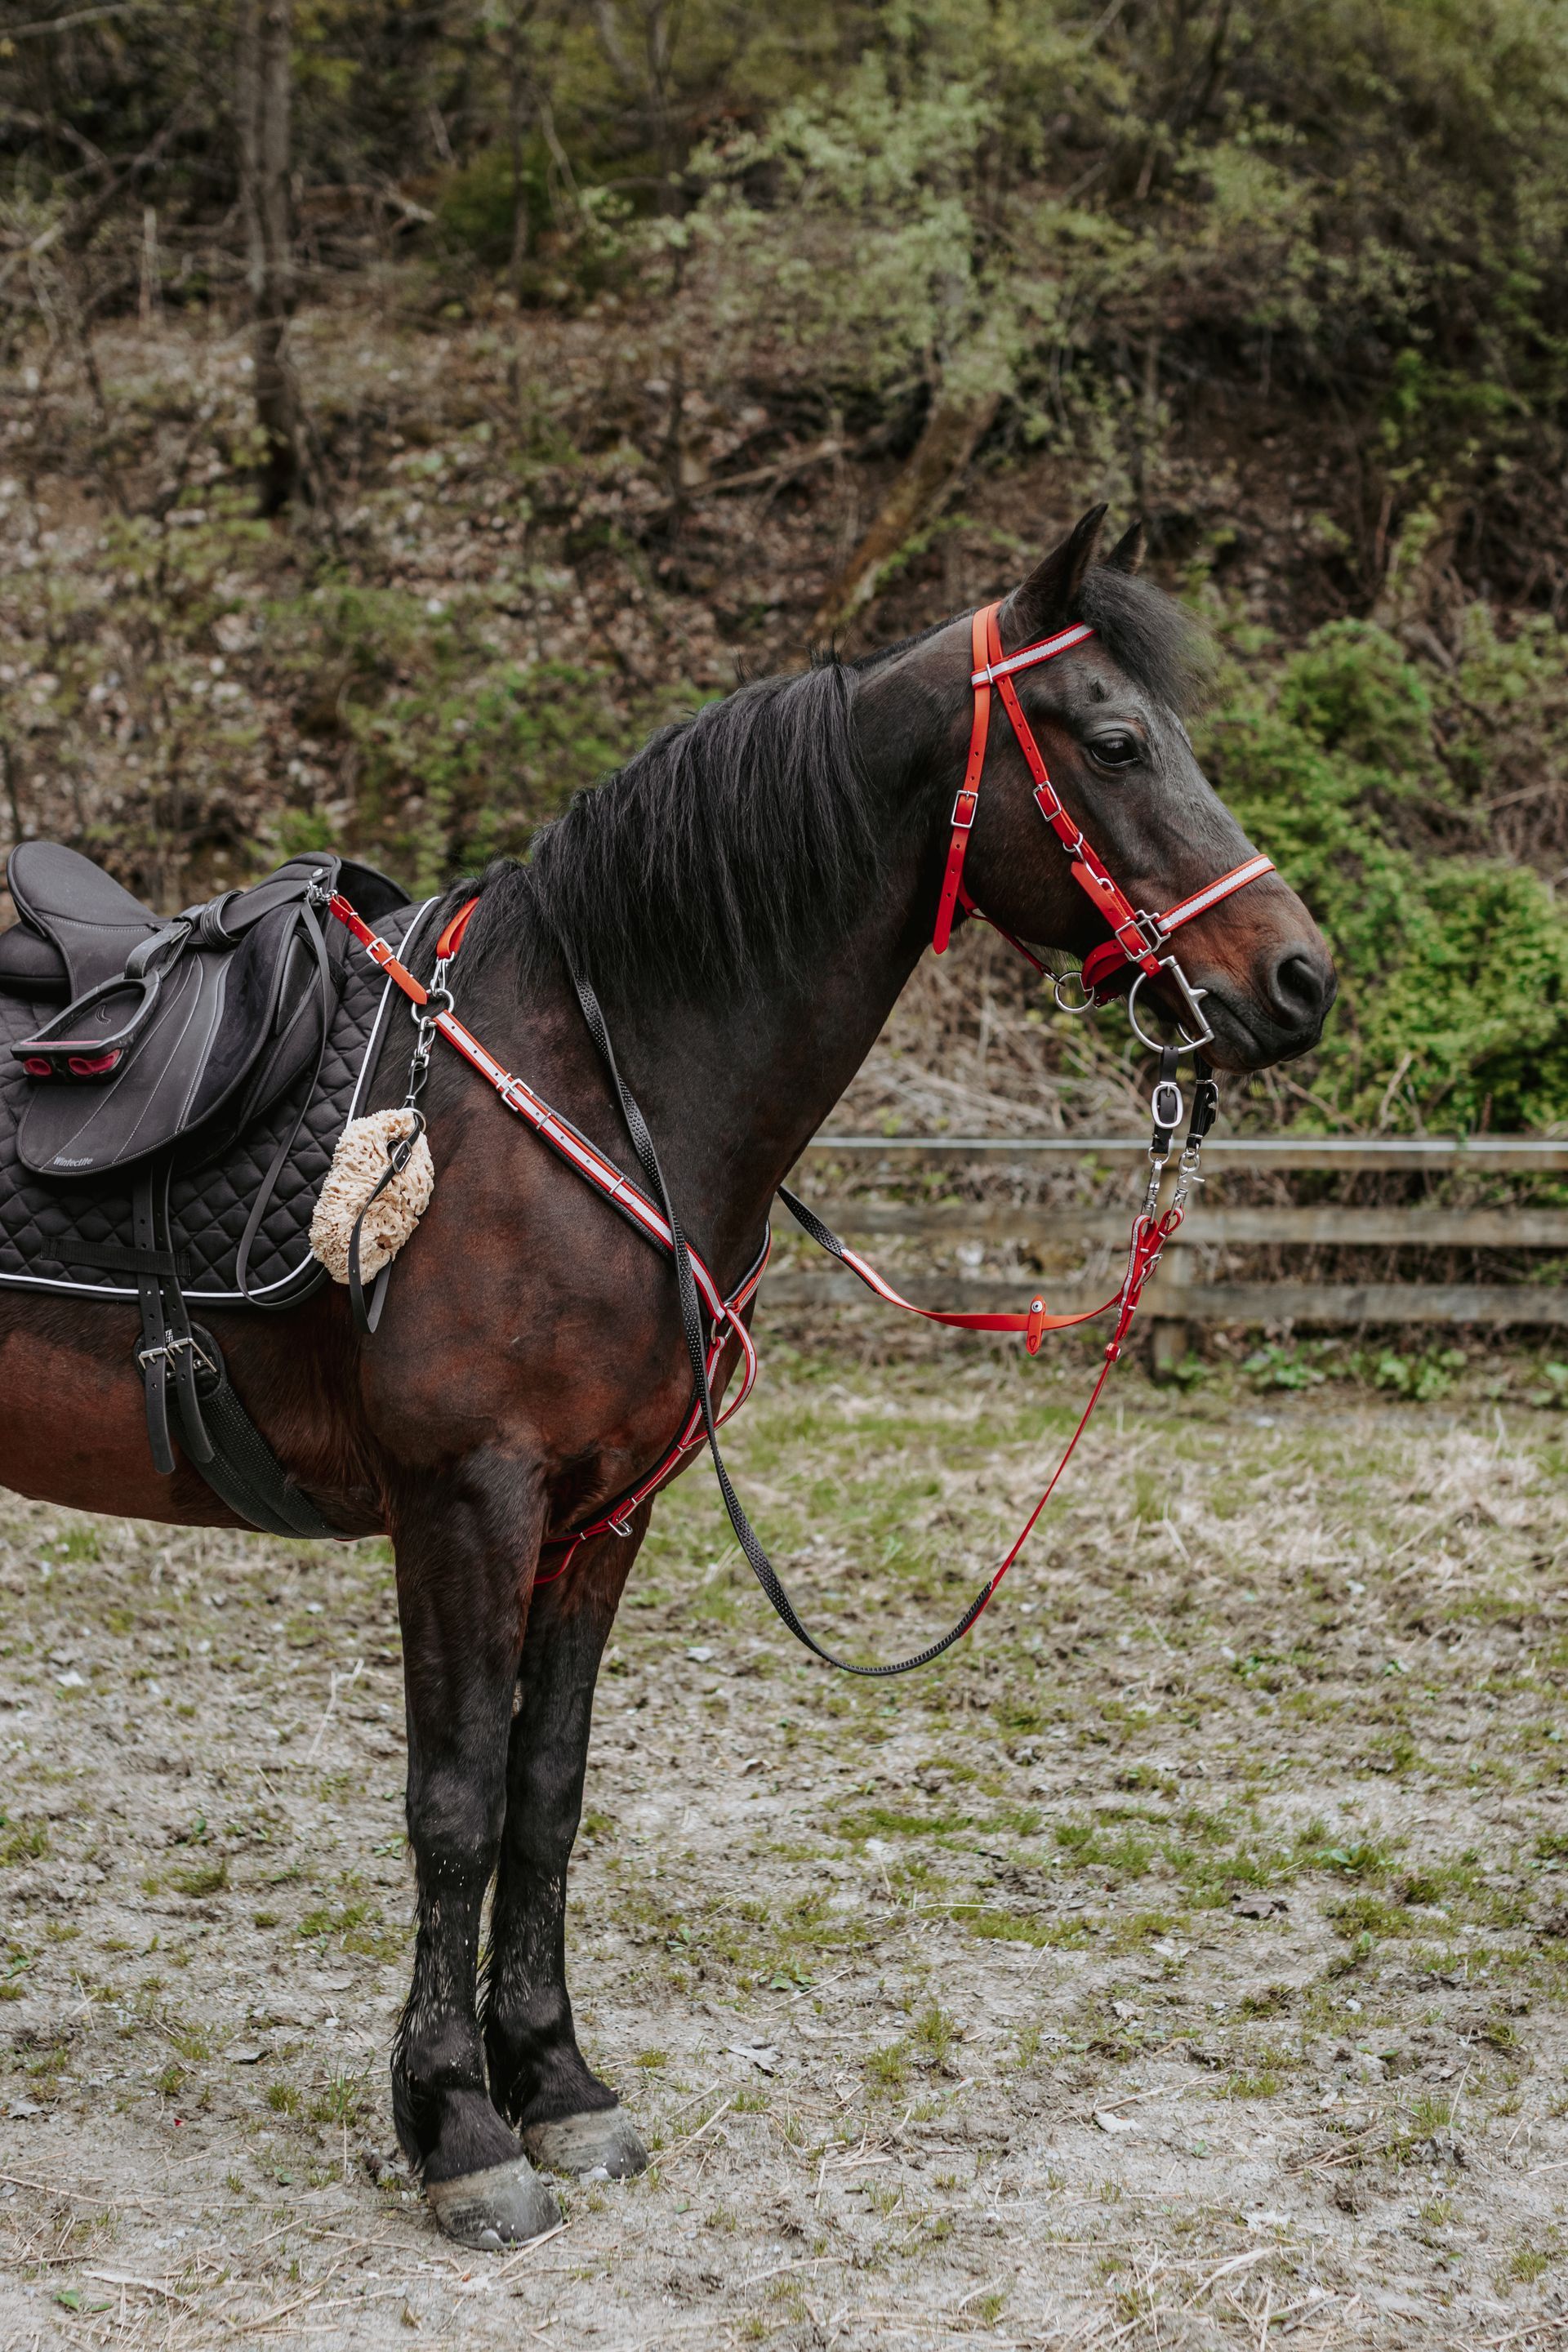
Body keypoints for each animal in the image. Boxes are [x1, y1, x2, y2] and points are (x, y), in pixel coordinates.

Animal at [0, 508, 1335, 2247]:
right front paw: (456, 2129)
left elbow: (546, 1792)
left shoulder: (603, 1513)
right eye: (1114, 741)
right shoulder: (468, 1503)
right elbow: (454, 1799)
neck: (588, 1080)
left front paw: (556, 2086)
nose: (1303, 979)